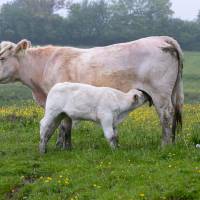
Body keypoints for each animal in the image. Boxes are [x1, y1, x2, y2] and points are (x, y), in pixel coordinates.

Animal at [0, 36, 184, 148]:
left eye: (2, 58)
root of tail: (162, 38)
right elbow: (64, 124)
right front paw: (65, 146)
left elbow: (63, 125)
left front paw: (61, 146)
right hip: (172, 93)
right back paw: (172, 143)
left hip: (160, 94)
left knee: (166, 115)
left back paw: (164, 145)